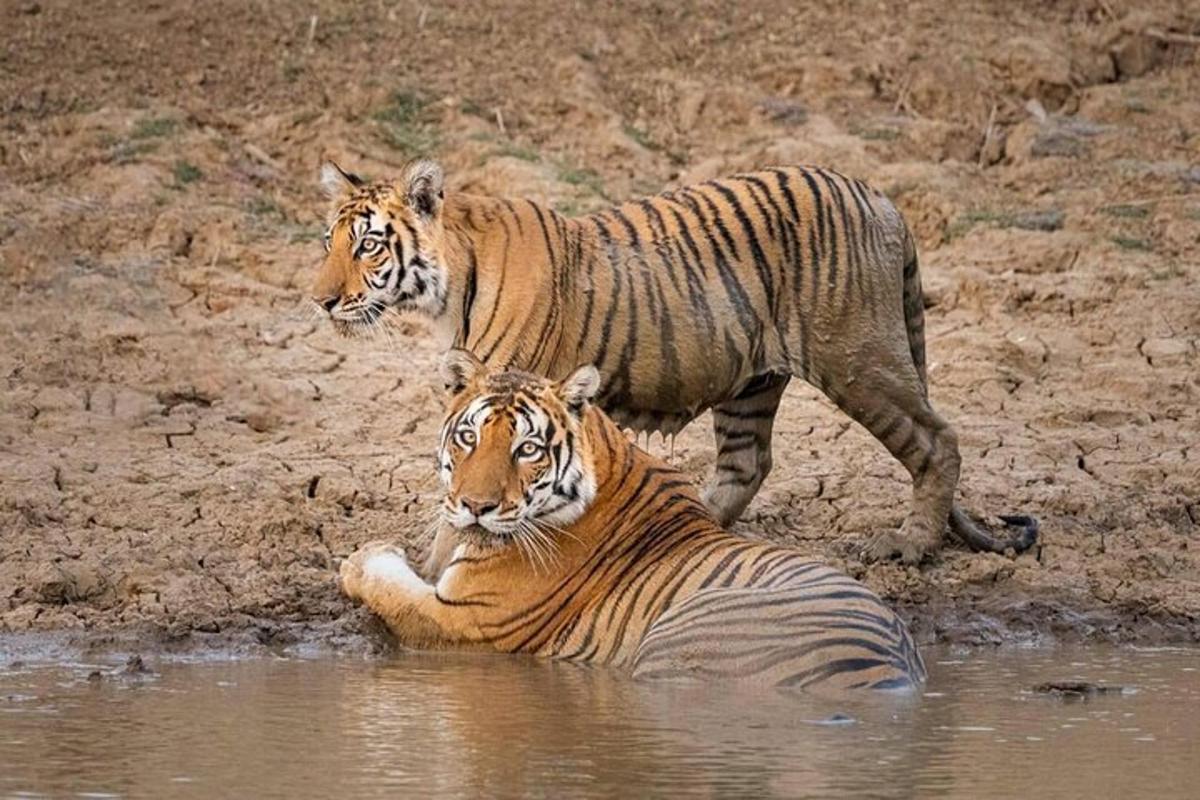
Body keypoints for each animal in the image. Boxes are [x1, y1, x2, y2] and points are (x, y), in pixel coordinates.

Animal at [314, 159, 1036, 566]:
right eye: (328, 242)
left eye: (370, 244)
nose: (319, 300)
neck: (447, 286)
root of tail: (881, 197)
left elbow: (460, 511)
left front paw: (429, 573)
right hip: (752, 382)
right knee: (748, 463)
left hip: (857, 356)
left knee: (936, 440)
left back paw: (909, 546)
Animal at [338, 352, 926, 695]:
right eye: (468, 438)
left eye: (527, 449)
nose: (474, 505)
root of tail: (891, 672)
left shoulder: (464, 618)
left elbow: (388, 586)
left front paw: (362, 555)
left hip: (675, 645)